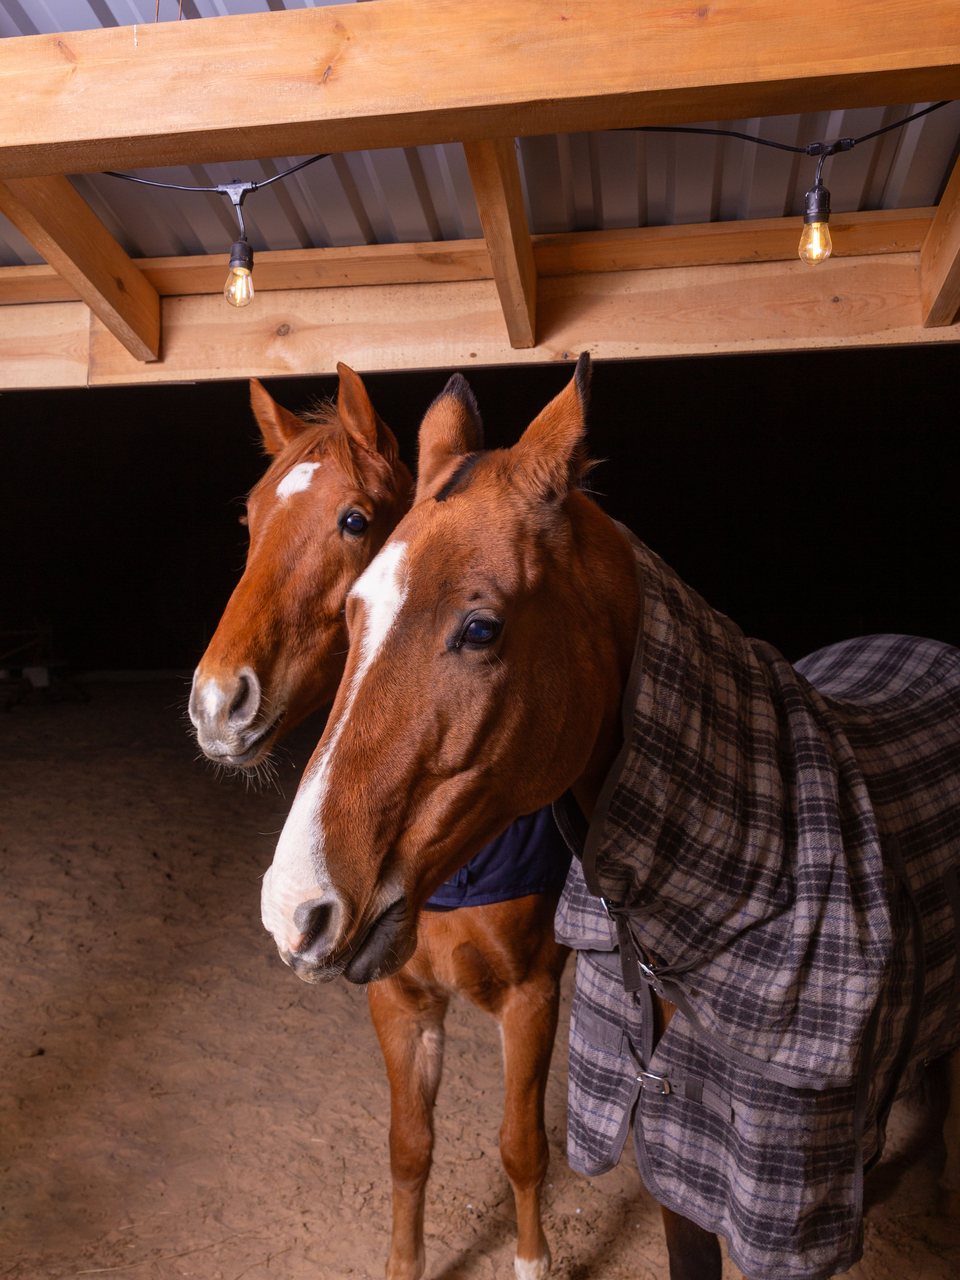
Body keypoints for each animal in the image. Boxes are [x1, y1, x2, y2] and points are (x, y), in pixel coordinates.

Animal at [189, 367, 570, 1280]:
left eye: (355, 519)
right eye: (250, 520)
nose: (216, 703)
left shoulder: (533, 996)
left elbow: (522, 1148)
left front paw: (533, 1258)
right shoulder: (397, 998)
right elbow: (409, 1148)